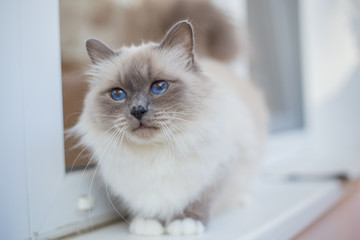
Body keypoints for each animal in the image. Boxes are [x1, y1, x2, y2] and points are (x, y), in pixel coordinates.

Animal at [72, 20, 268, 234]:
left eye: (159, 87)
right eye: (118, 94)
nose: (138, 110)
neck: (154, 154)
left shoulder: (219, 169)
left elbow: (200, 200)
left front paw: (185, 223)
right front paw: (147, 223)